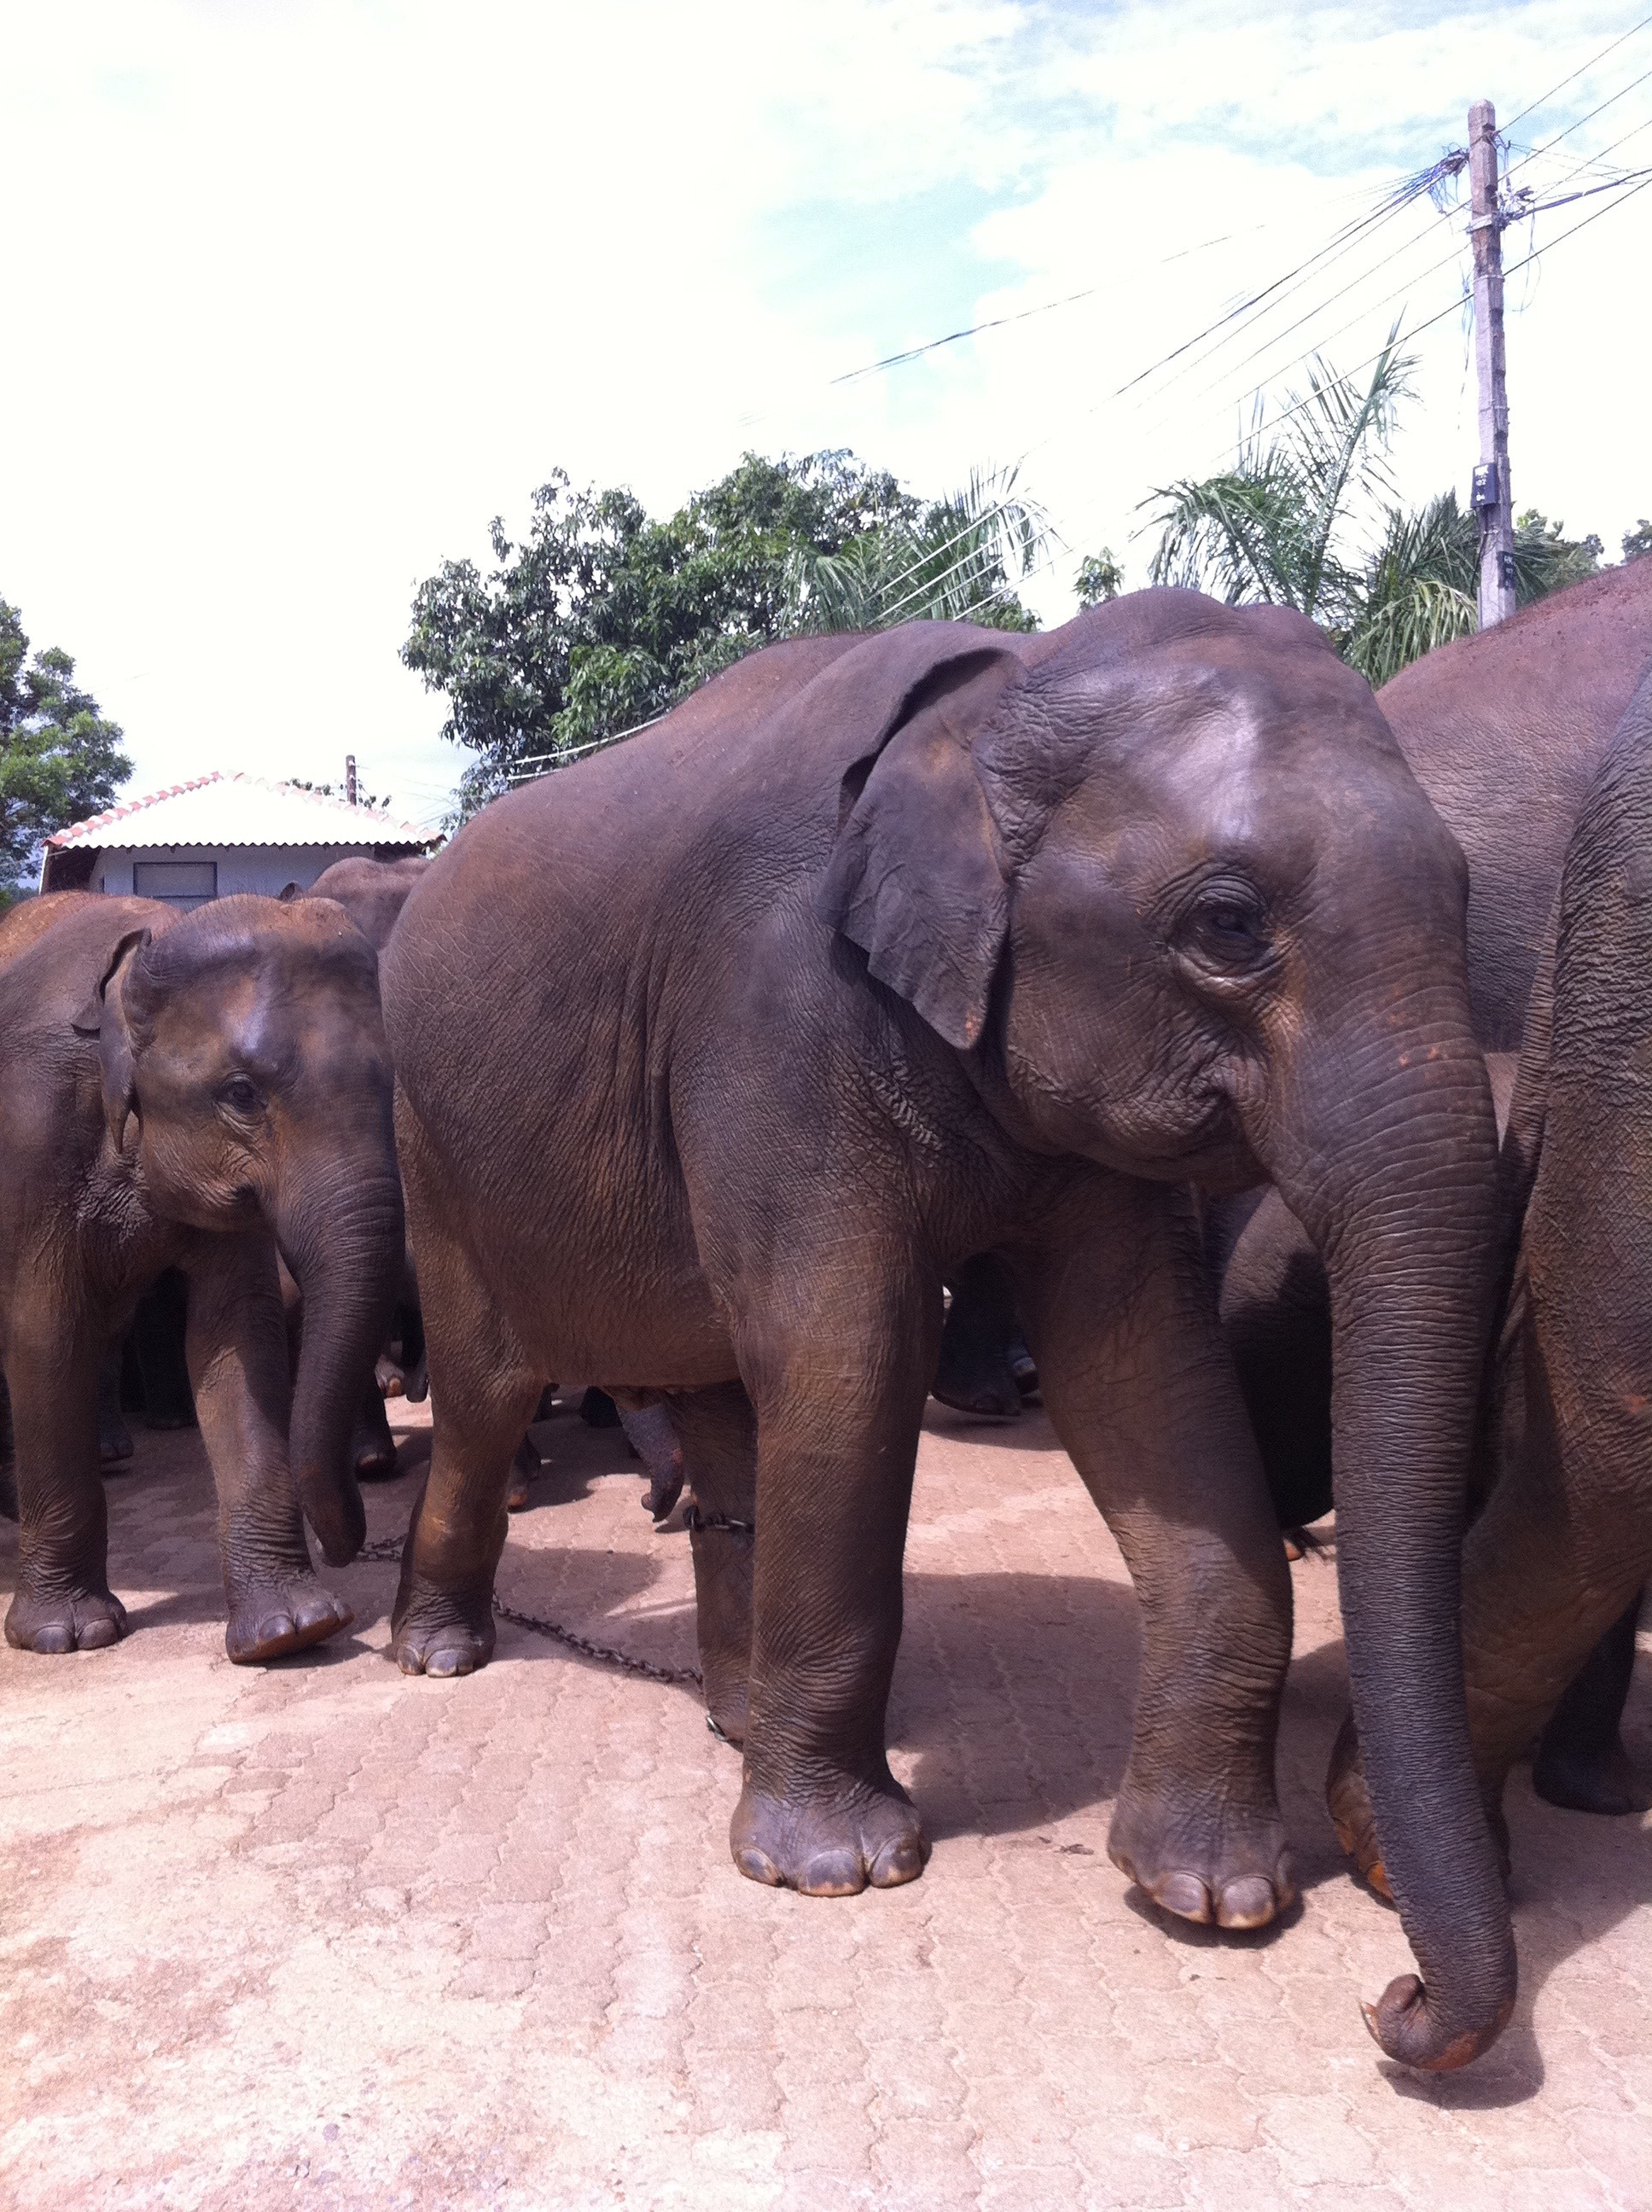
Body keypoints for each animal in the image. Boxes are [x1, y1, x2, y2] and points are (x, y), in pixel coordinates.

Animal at [0, 888, 400, 1654]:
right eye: (241, 1094)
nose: (355, 1546)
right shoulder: (29, 1141)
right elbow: (48, 1336)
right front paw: (69, 1634)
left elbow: (238, 1331)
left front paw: (292, 1630)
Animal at [380, 592, 1521, 2070]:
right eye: (1226, 923)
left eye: (1464, 895)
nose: (1394, 2006)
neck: (1004, 689)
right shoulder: (774, 1011)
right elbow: (853, 1358)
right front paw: (836, 1873)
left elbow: (1146, 1373)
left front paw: (1214, 1898)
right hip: (437, 1153)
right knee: (485, 1396)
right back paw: (439, 1655)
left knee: (720, 1398)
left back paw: (735, 1716)